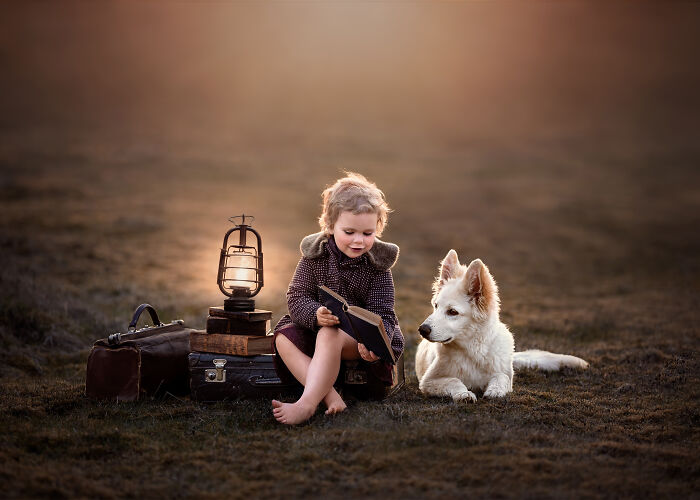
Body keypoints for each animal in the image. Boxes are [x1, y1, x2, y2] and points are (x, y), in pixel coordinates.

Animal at [412, 250, 588, 402]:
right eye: (435, 306)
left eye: (452, 312)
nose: (422, 330)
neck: (473, 350)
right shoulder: (428, 381)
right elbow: (453, 381)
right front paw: (464, 394)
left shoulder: (506, 375)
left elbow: (501, 377)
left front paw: (494, 390)